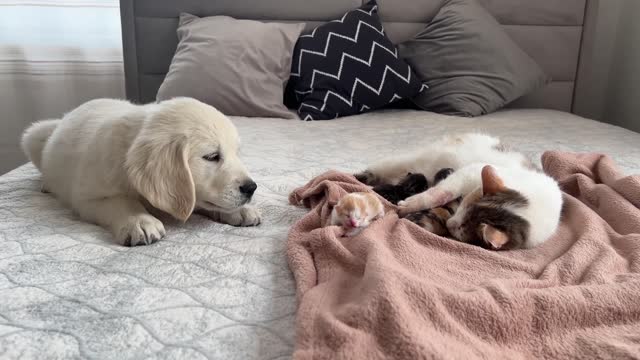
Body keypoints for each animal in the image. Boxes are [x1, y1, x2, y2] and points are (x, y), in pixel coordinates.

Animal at [20, 97, 260, 246]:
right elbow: (120, 202)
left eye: (237, 153)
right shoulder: (87, 198)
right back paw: (46, 184)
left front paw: (241, 211)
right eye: (212, 156)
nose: (251, 188)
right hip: (33, 135)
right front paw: (139, 221)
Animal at [358, 133, 564, 250]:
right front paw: (413, 203)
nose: (451, 223)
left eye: (461, 228)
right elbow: (440, 193)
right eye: (464, 206)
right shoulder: (469, 173)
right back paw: (363, 176)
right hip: (411, 159)